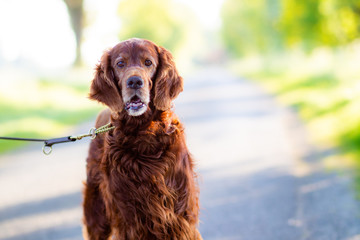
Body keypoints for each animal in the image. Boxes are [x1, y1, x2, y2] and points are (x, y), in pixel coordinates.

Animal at [83, 38, 202, 239]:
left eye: (148, 62)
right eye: (120, 64)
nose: (134, 82)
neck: (144, 134)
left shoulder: (181, 216)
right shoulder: (129, 219)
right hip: (97, 211)